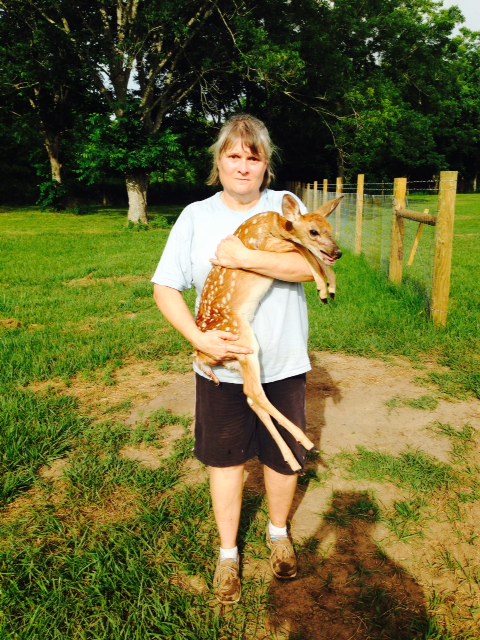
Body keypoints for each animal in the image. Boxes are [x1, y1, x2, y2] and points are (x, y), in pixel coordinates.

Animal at [194, 194, 343, 473]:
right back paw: (306, 443)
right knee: (255, 394)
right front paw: (323, 288)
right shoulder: (264, 244)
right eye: (314, 231)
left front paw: (330, 288)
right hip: (244, 341)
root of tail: (201, 356)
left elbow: (310, 255)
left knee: (252, 398)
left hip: (238, 360)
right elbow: (303, 250)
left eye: (331, 229)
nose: (337, 252)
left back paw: (292, 459)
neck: (275, 224)